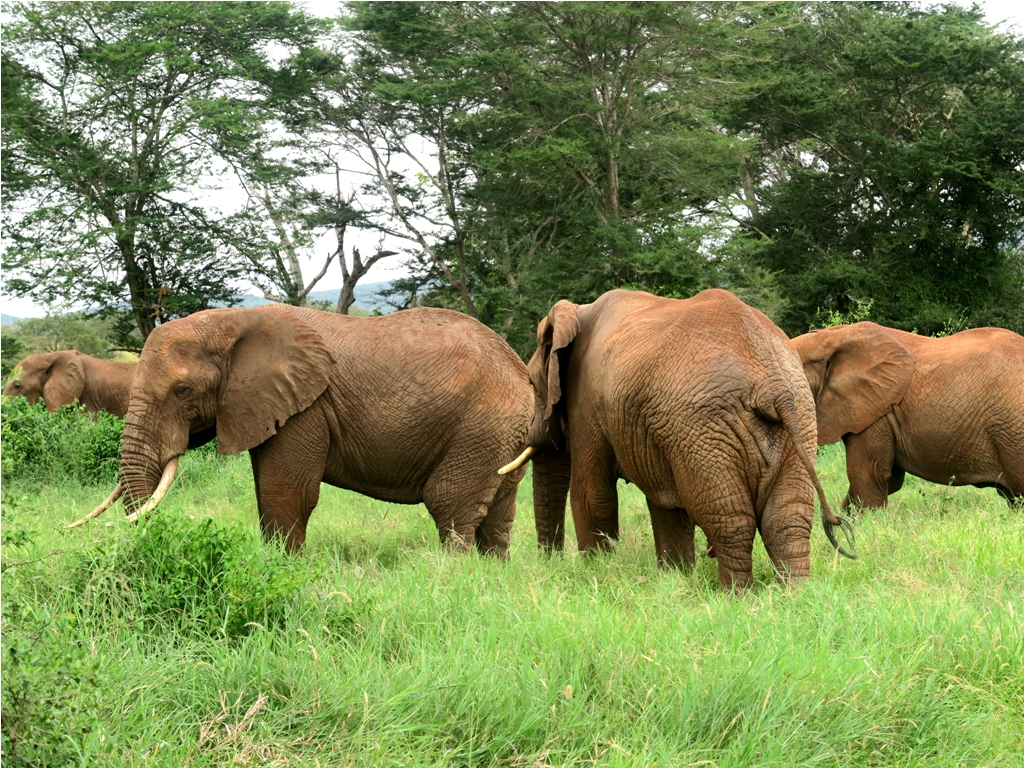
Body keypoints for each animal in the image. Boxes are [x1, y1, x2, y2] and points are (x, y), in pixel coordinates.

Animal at [72, 303, 532, 557]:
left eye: (182, 391)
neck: (234, 322)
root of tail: (519, 368)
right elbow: (267, 490)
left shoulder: (306, 408)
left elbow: (287, 492)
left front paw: (286, 568)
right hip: (504, 434)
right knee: (498, 514)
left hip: (482, 425)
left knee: (450, 506)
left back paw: (454, 574)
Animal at [499, 288, 851, 589]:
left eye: (532, 384)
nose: (550, 563)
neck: (579, 312)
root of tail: (774, 387)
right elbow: (665, 504)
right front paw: (675, 578)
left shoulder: (587, 399)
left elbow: (592, 495)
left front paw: (597, 570)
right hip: (795, 422)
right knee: (786, 519)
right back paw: (794, 594)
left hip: (707, 431)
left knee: (730, 520)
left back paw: (735, 597)